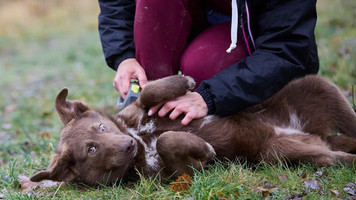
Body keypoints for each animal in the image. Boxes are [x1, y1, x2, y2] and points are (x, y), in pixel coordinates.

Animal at [29, 76, 356, 185]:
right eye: (92, 149)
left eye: (101, 126)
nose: (127, 147)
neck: (141, 139)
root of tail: (316, 134)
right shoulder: (183, 173)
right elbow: (168, 141)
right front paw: (205, 148)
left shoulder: (139, 112)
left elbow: (148, 92)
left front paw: (182, 82)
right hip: (279, 151)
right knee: (335, 157)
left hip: (319, 86)